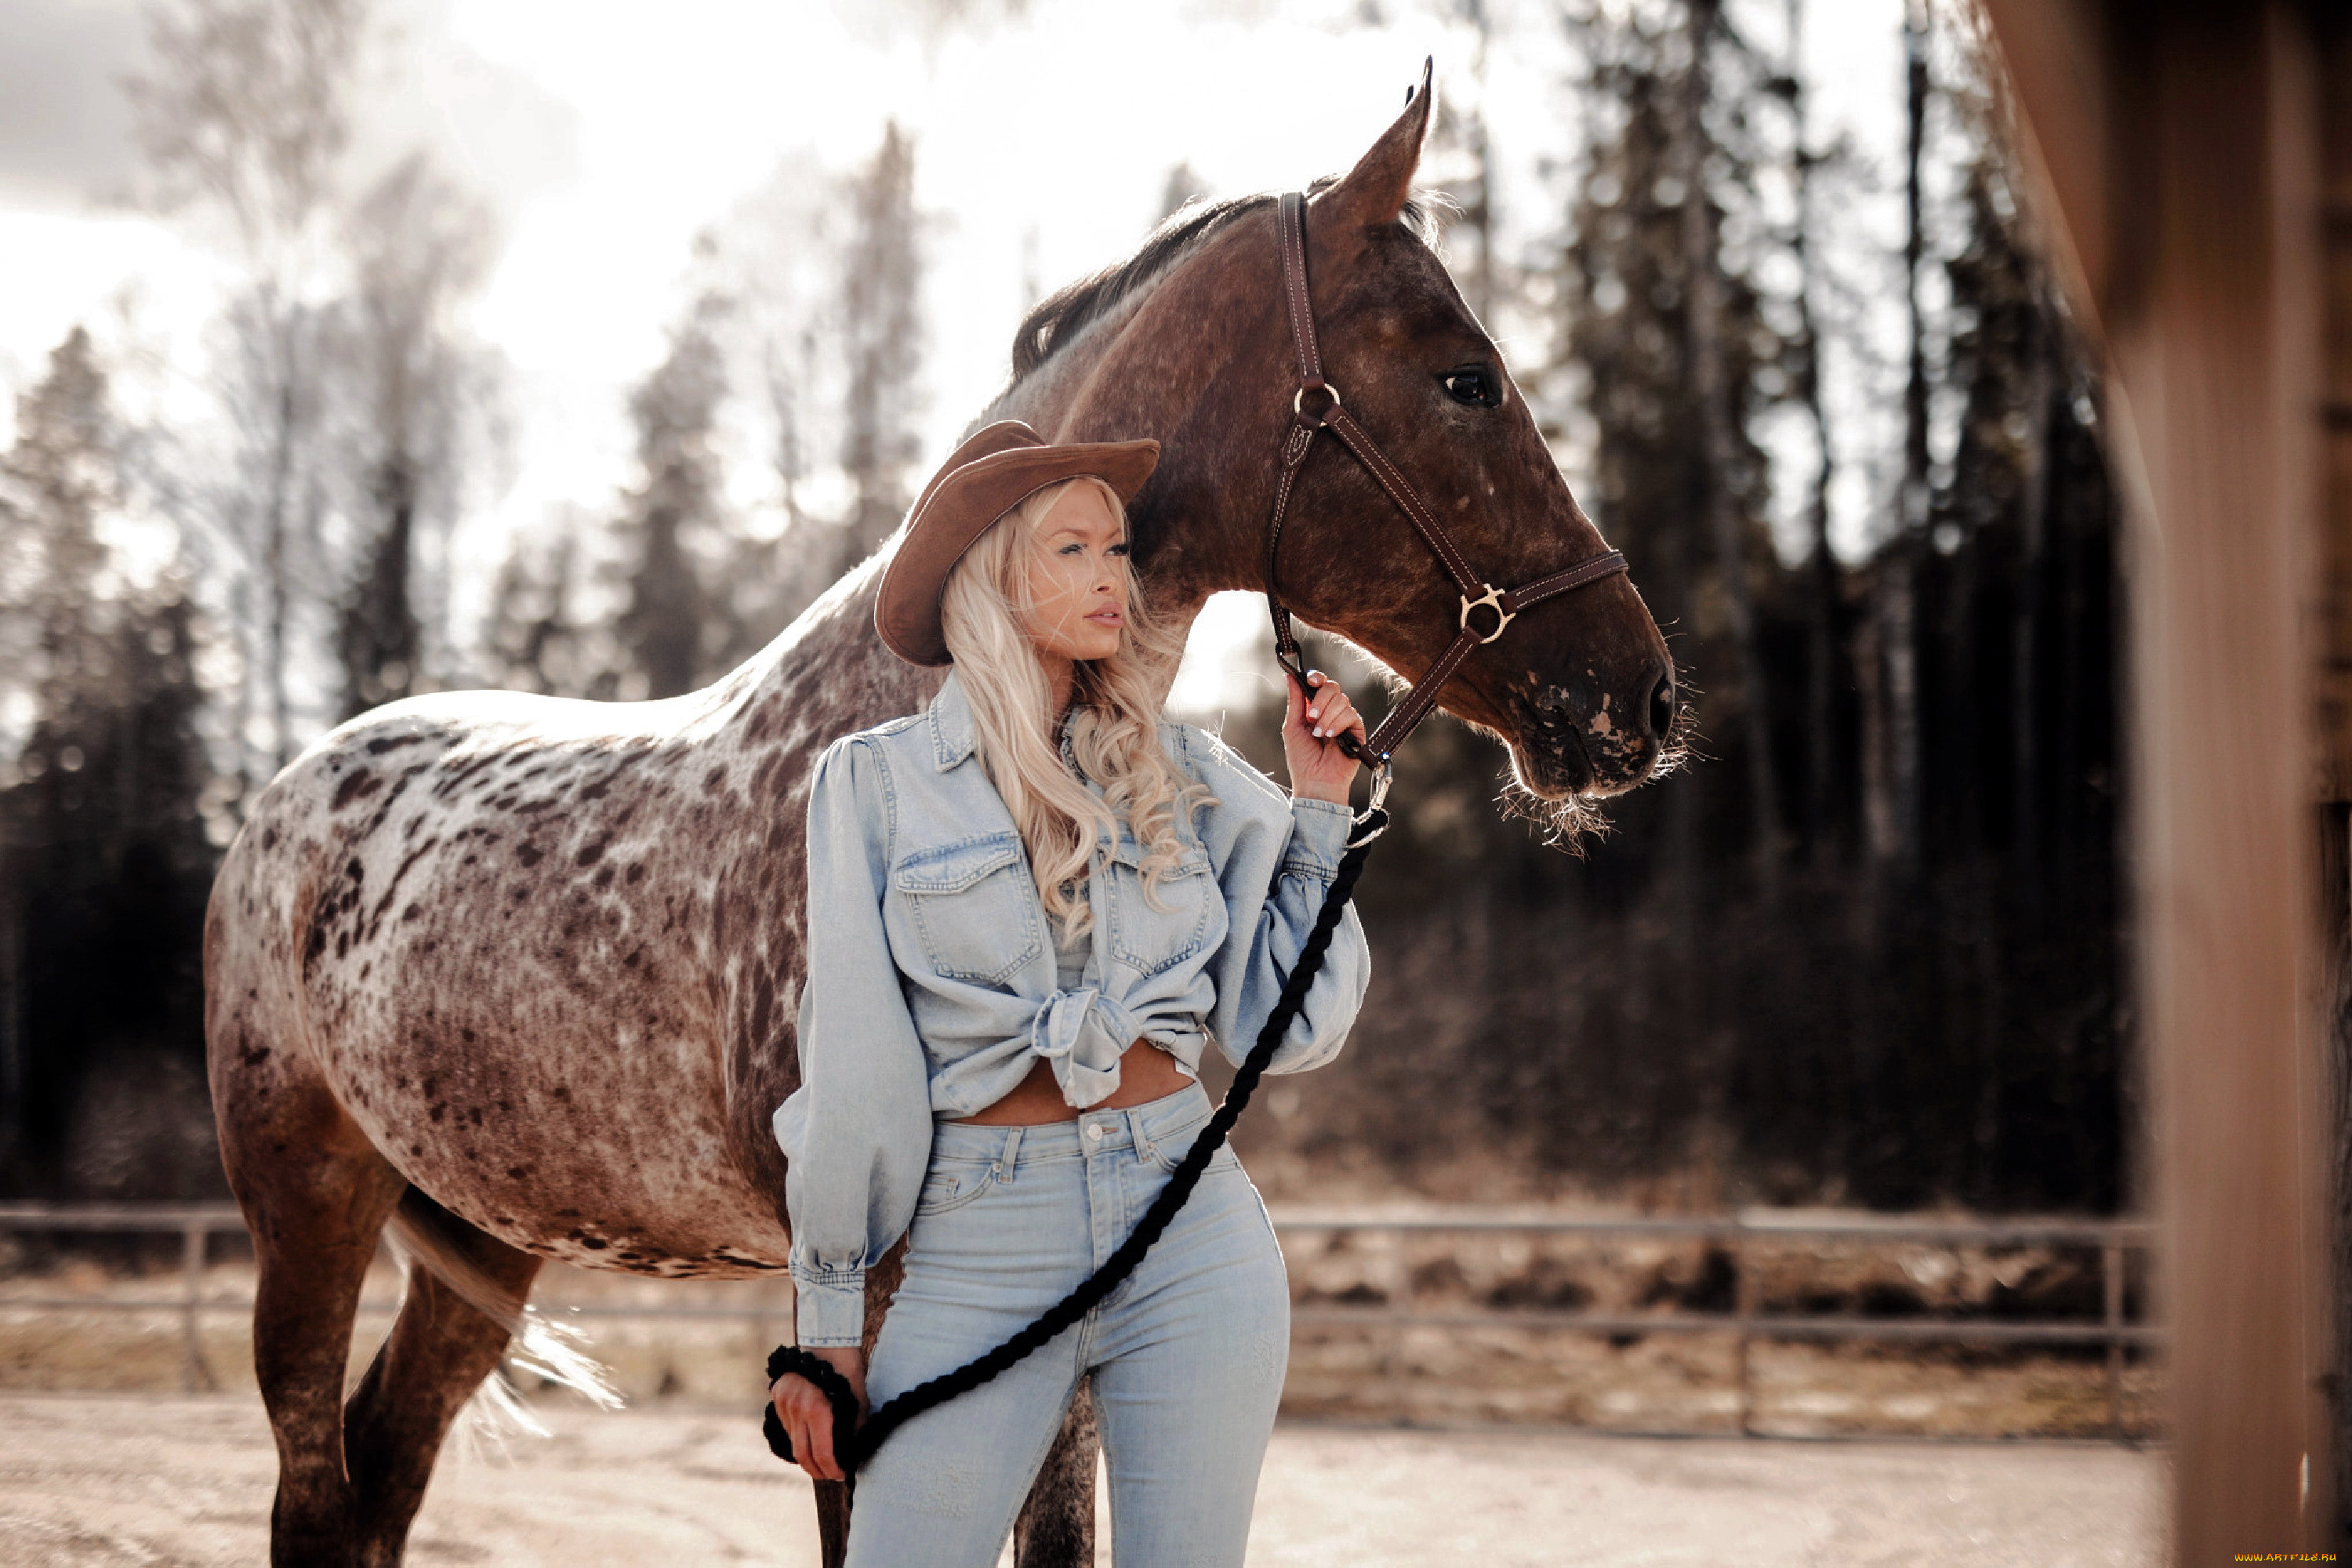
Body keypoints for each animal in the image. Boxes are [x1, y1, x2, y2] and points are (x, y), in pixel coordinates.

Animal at [202, 76, 1675, 1568]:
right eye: (1465, 377)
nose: (1641, 697)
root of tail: (287, 801)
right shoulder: (860, 1317)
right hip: (311, 1209)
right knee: (313, 1490)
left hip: (483, 1237)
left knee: (384, 1472)